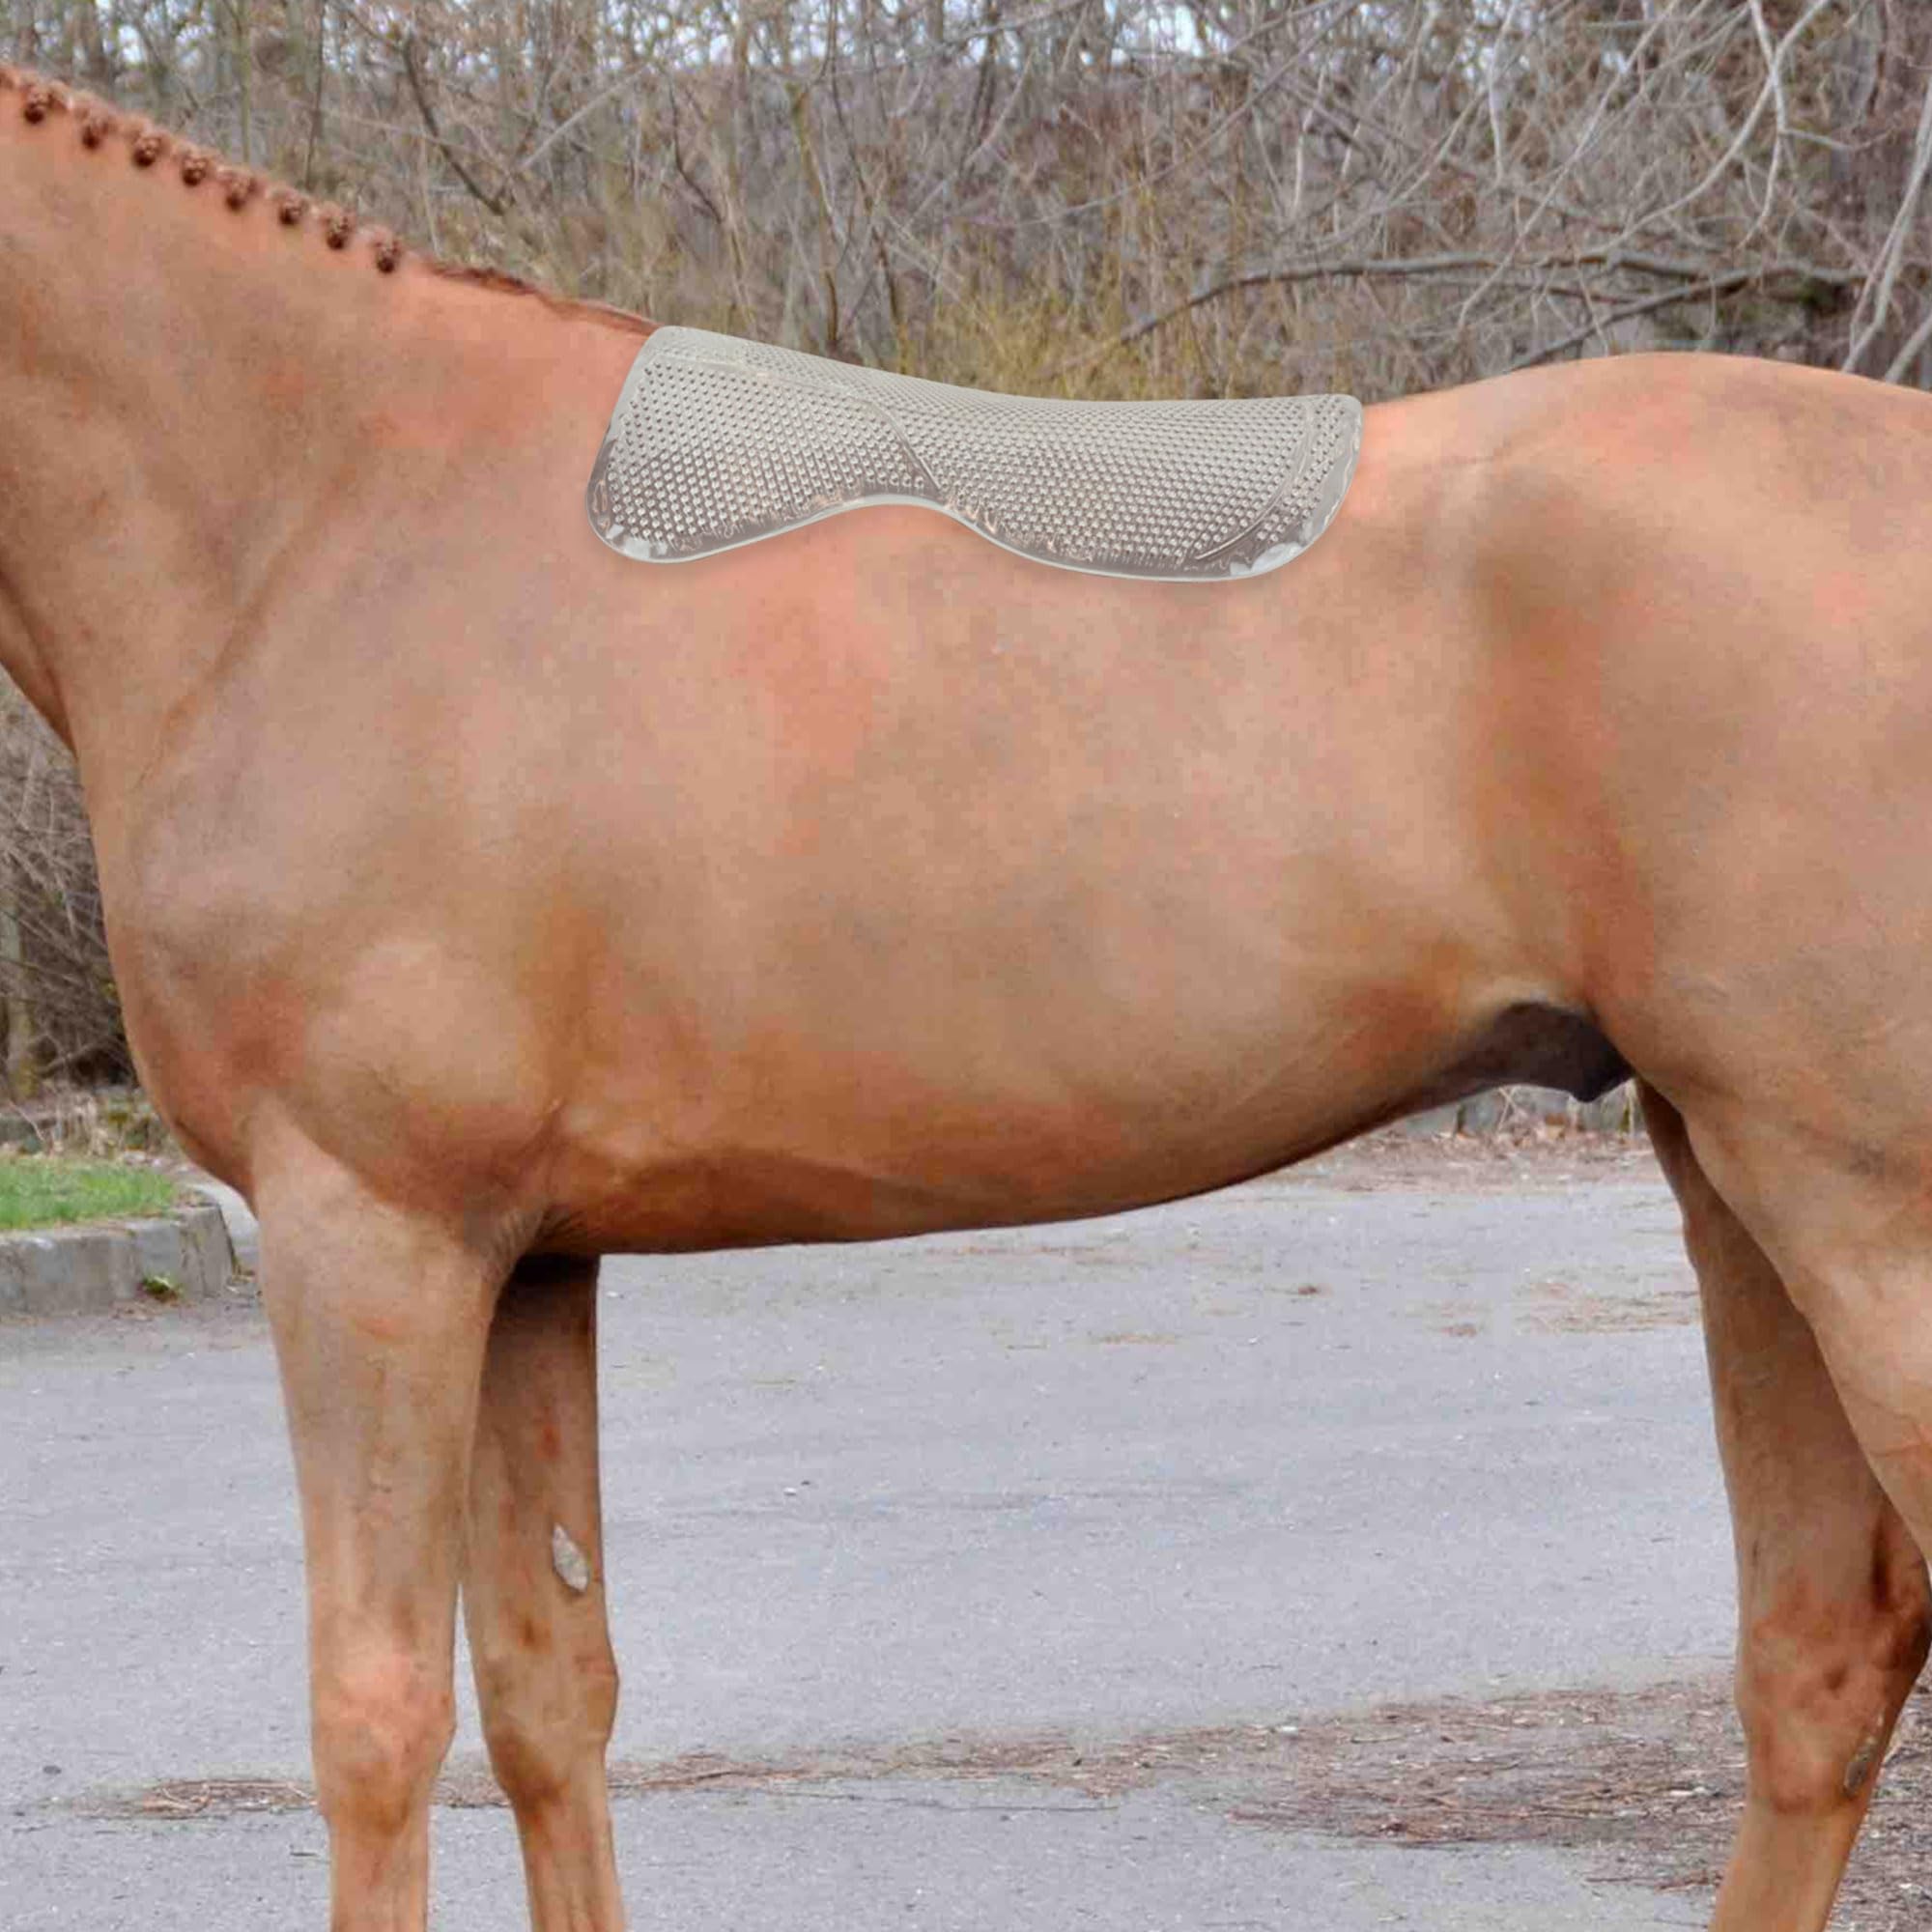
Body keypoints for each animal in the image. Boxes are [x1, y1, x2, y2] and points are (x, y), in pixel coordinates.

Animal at [3, 62, 1929, 1932]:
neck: (311, 511)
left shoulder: (371, 1232)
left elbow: (377, 1720)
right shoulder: (520, 1254)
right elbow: (551, 1697)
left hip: (1850, 1209)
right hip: (1731, 1175)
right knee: (1819, 1659)